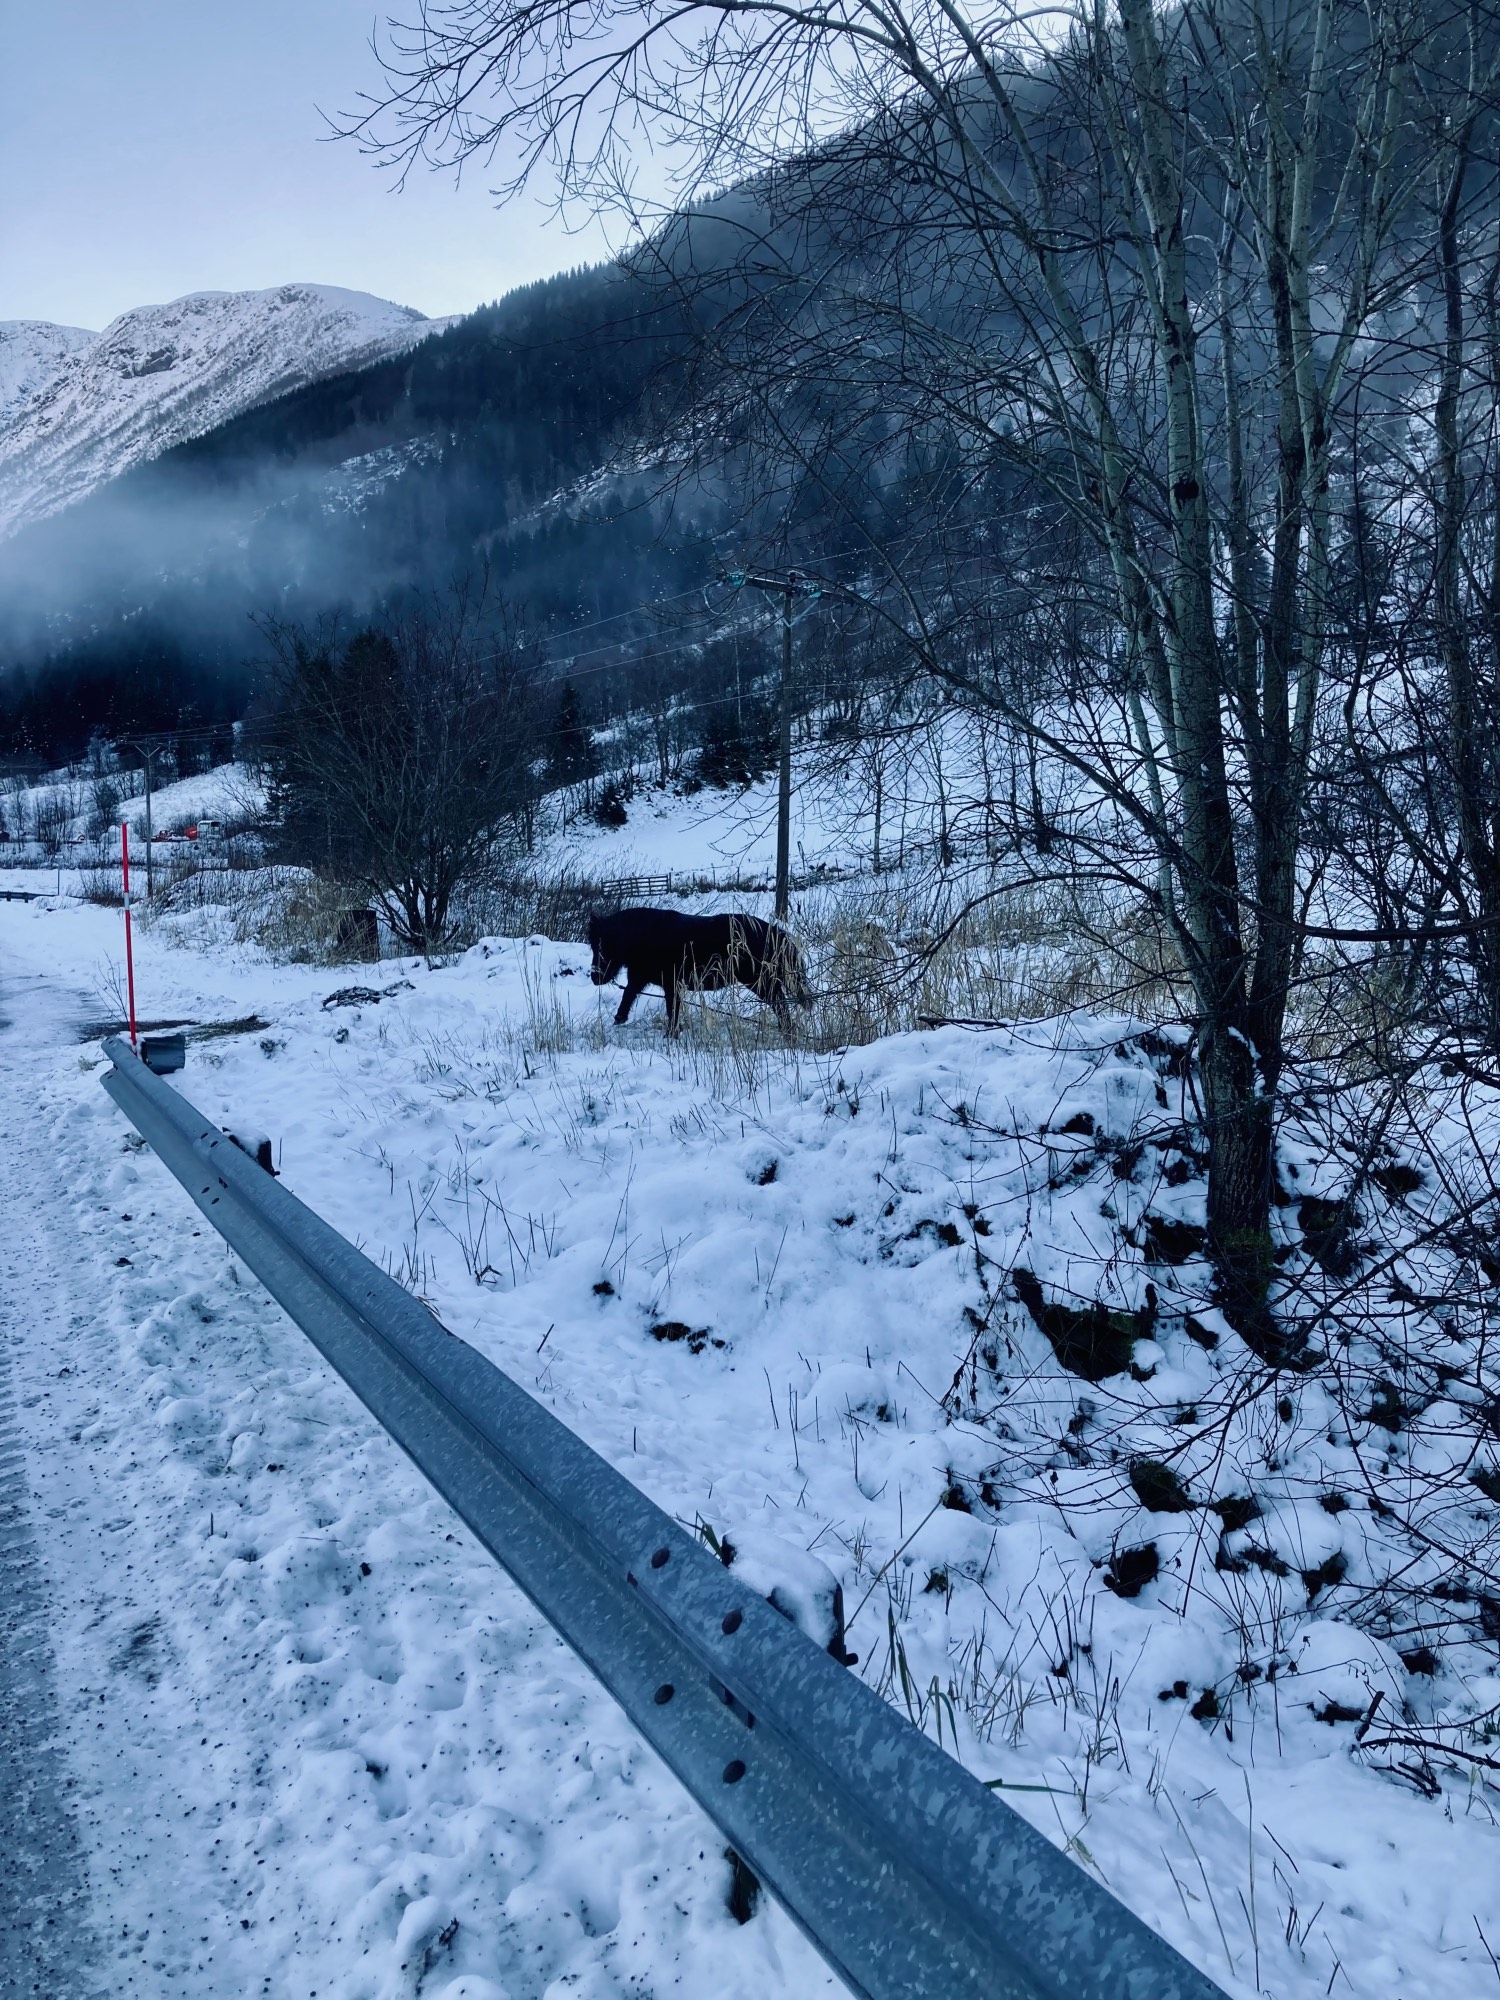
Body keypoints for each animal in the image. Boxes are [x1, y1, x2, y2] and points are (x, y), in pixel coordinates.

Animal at [587, 907, 813, 1033]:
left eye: (605, 945)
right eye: (593, 945)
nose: (595, 977)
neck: (643, 937)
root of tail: (776, 932)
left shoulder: (671, 985)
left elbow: (671, 1010)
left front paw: (671, 1034)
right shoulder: (642, 978)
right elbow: (629, 994)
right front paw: (619, 1019)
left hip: (761, 982)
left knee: (779, 1005)